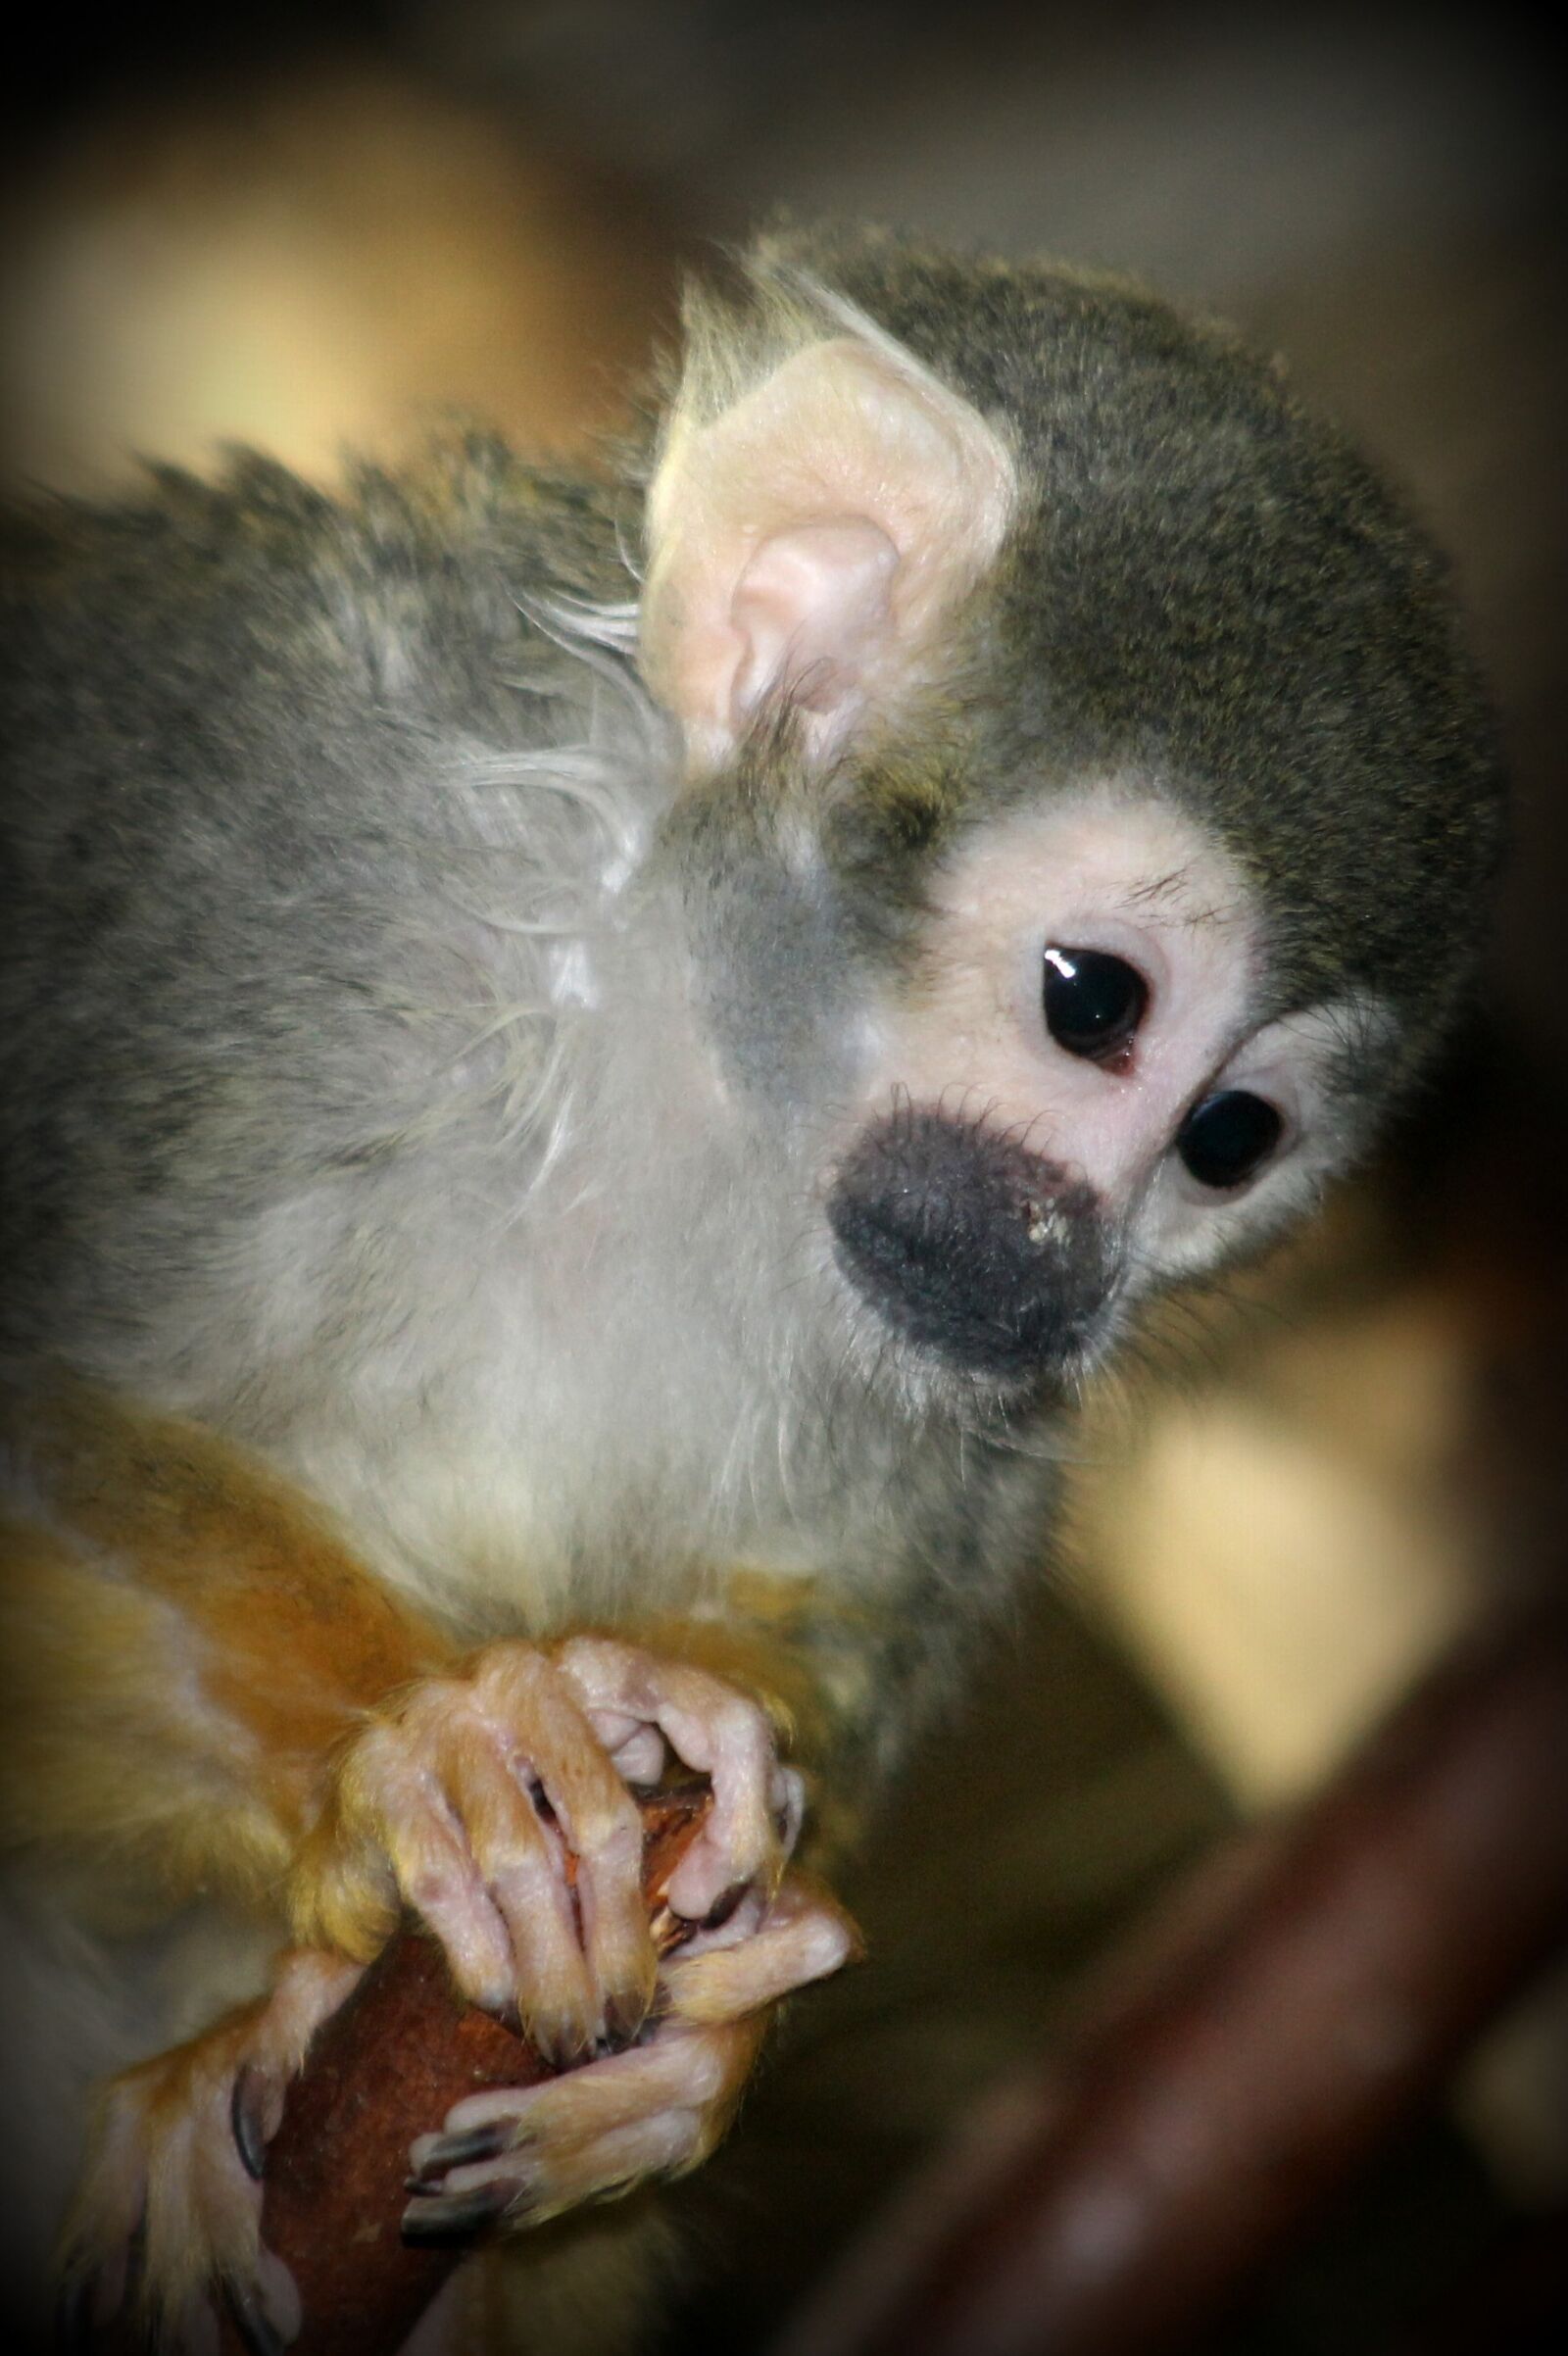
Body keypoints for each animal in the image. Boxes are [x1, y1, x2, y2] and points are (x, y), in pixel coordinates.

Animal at [0, 223, 1503, 2351]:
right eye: (1091, 1002)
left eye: (1232, 1137)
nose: (1062, 1262)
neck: (679, 1062)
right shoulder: (262, 902)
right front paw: (415, 1742)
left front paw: (706, 2004)